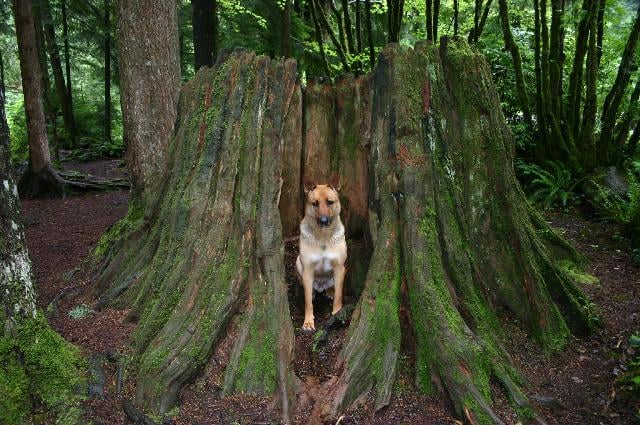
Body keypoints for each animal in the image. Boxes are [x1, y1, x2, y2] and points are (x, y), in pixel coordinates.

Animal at [296, 181, 344, 330]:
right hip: (298, 262)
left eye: (330, 202)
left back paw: (329, 291)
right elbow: (307, 303)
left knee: (332, 287)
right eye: (315, 203)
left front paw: (337, 313)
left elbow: (339, 295)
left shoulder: (339, 268)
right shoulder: (307, 270)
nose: (323, 221)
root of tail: (321, 286)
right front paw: (308, 321)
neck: (323, 238)